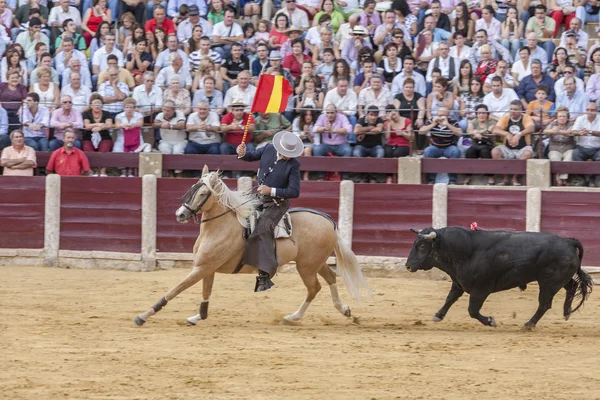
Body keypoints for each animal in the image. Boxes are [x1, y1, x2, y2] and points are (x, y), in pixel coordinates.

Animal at [134, 166, 370, 324]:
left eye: (202, 193)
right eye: (192, 188)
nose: (180, 214)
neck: (219, 227)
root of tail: (328, 221)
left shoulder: (200, 268)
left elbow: (175, 290)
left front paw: (143, 315)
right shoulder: (207, 268)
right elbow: (205, 293)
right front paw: (198, 316)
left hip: (307, 267)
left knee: (314, 288)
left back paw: (293, 317)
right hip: (314, 263)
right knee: (330, 279)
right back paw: (343, 310)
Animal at [406, 227, 592, 330]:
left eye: (421, 246)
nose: (408, 265)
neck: (465, 251)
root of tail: (568, 241)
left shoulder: (480, 290)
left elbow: (472, 310)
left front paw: (490, 321)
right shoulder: (458, 284)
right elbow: (449, 299)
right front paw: (438, 315)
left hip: (549, 283)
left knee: (544, 304)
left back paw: (529, 324)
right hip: (558, 279)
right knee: (572, 286)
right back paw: (566, 312)